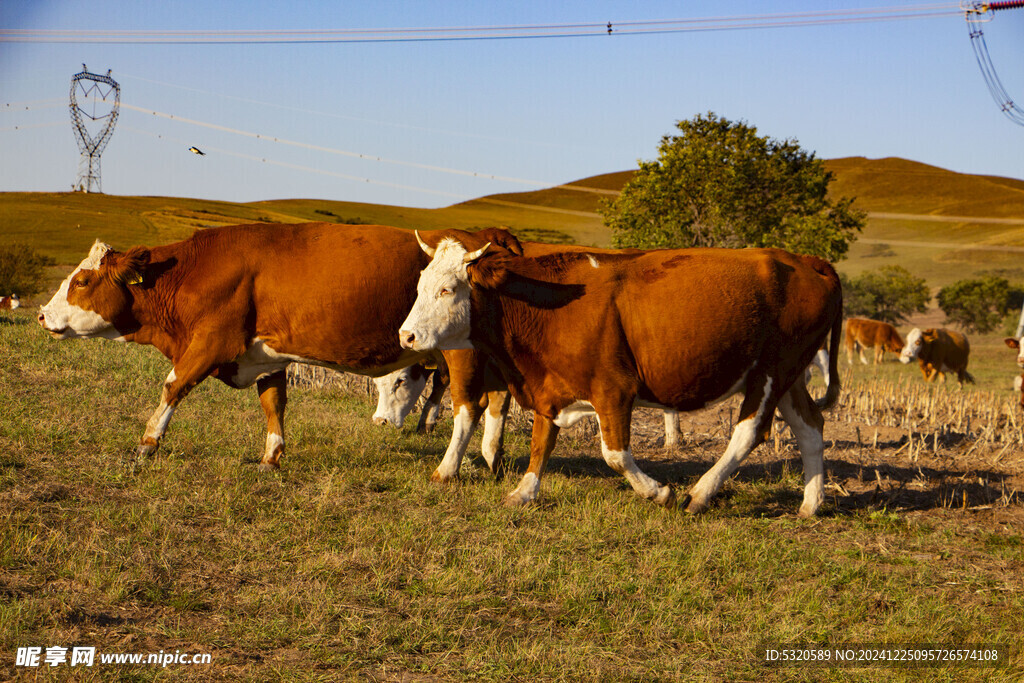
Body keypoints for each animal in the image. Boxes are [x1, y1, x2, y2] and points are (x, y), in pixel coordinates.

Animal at [37, 223, 520, 471]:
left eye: (82, 281)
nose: (42, 314)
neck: (195, 269)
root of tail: (489, 235)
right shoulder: (265, 354)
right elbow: (273, 403)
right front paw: (271, 456)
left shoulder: (210, 343)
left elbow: (173, 387)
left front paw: (147, 443)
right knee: (498, 400)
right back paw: (490, 459)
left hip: (462, 354)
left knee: (469, 406)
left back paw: (449, 468)